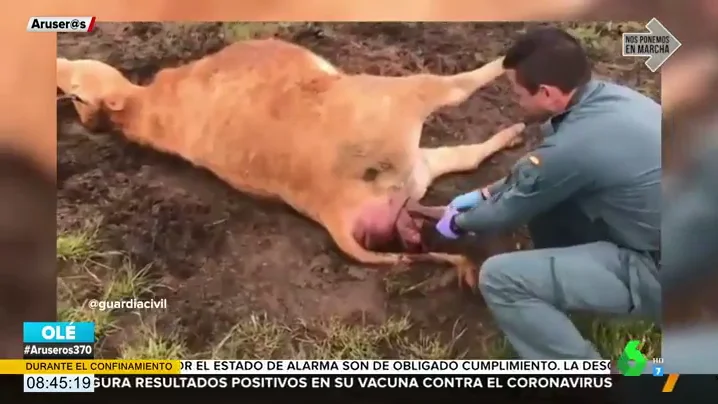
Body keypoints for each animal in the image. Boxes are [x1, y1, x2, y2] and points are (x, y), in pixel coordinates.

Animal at [56, 37, 524, 288]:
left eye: (76, 92)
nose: (58, 66)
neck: (142, 106)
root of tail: (332, 209)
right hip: (402, 99)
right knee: (462, 86)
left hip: (415, 170)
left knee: (465, 158)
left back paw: (514, 133)